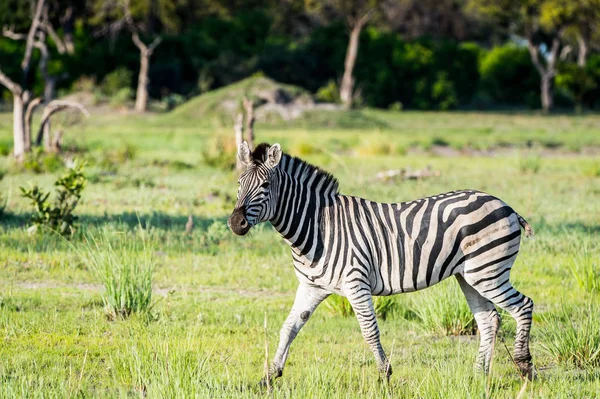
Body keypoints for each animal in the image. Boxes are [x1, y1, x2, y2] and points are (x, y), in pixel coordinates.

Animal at [229, 142, 536, 386]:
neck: (319, 226)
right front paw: (269, 376)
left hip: (489, 271)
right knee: (489, 319)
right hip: (470, 276)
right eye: (239, 184)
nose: (235, 223)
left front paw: (384, 375)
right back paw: (478, 375)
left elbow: (369, 330)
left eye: (265, 186)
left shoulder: (355, 283)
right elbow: (288, 328)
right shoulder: (311, 287)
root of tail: (506, 205)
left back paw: (524, 367)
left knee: (523, 306)